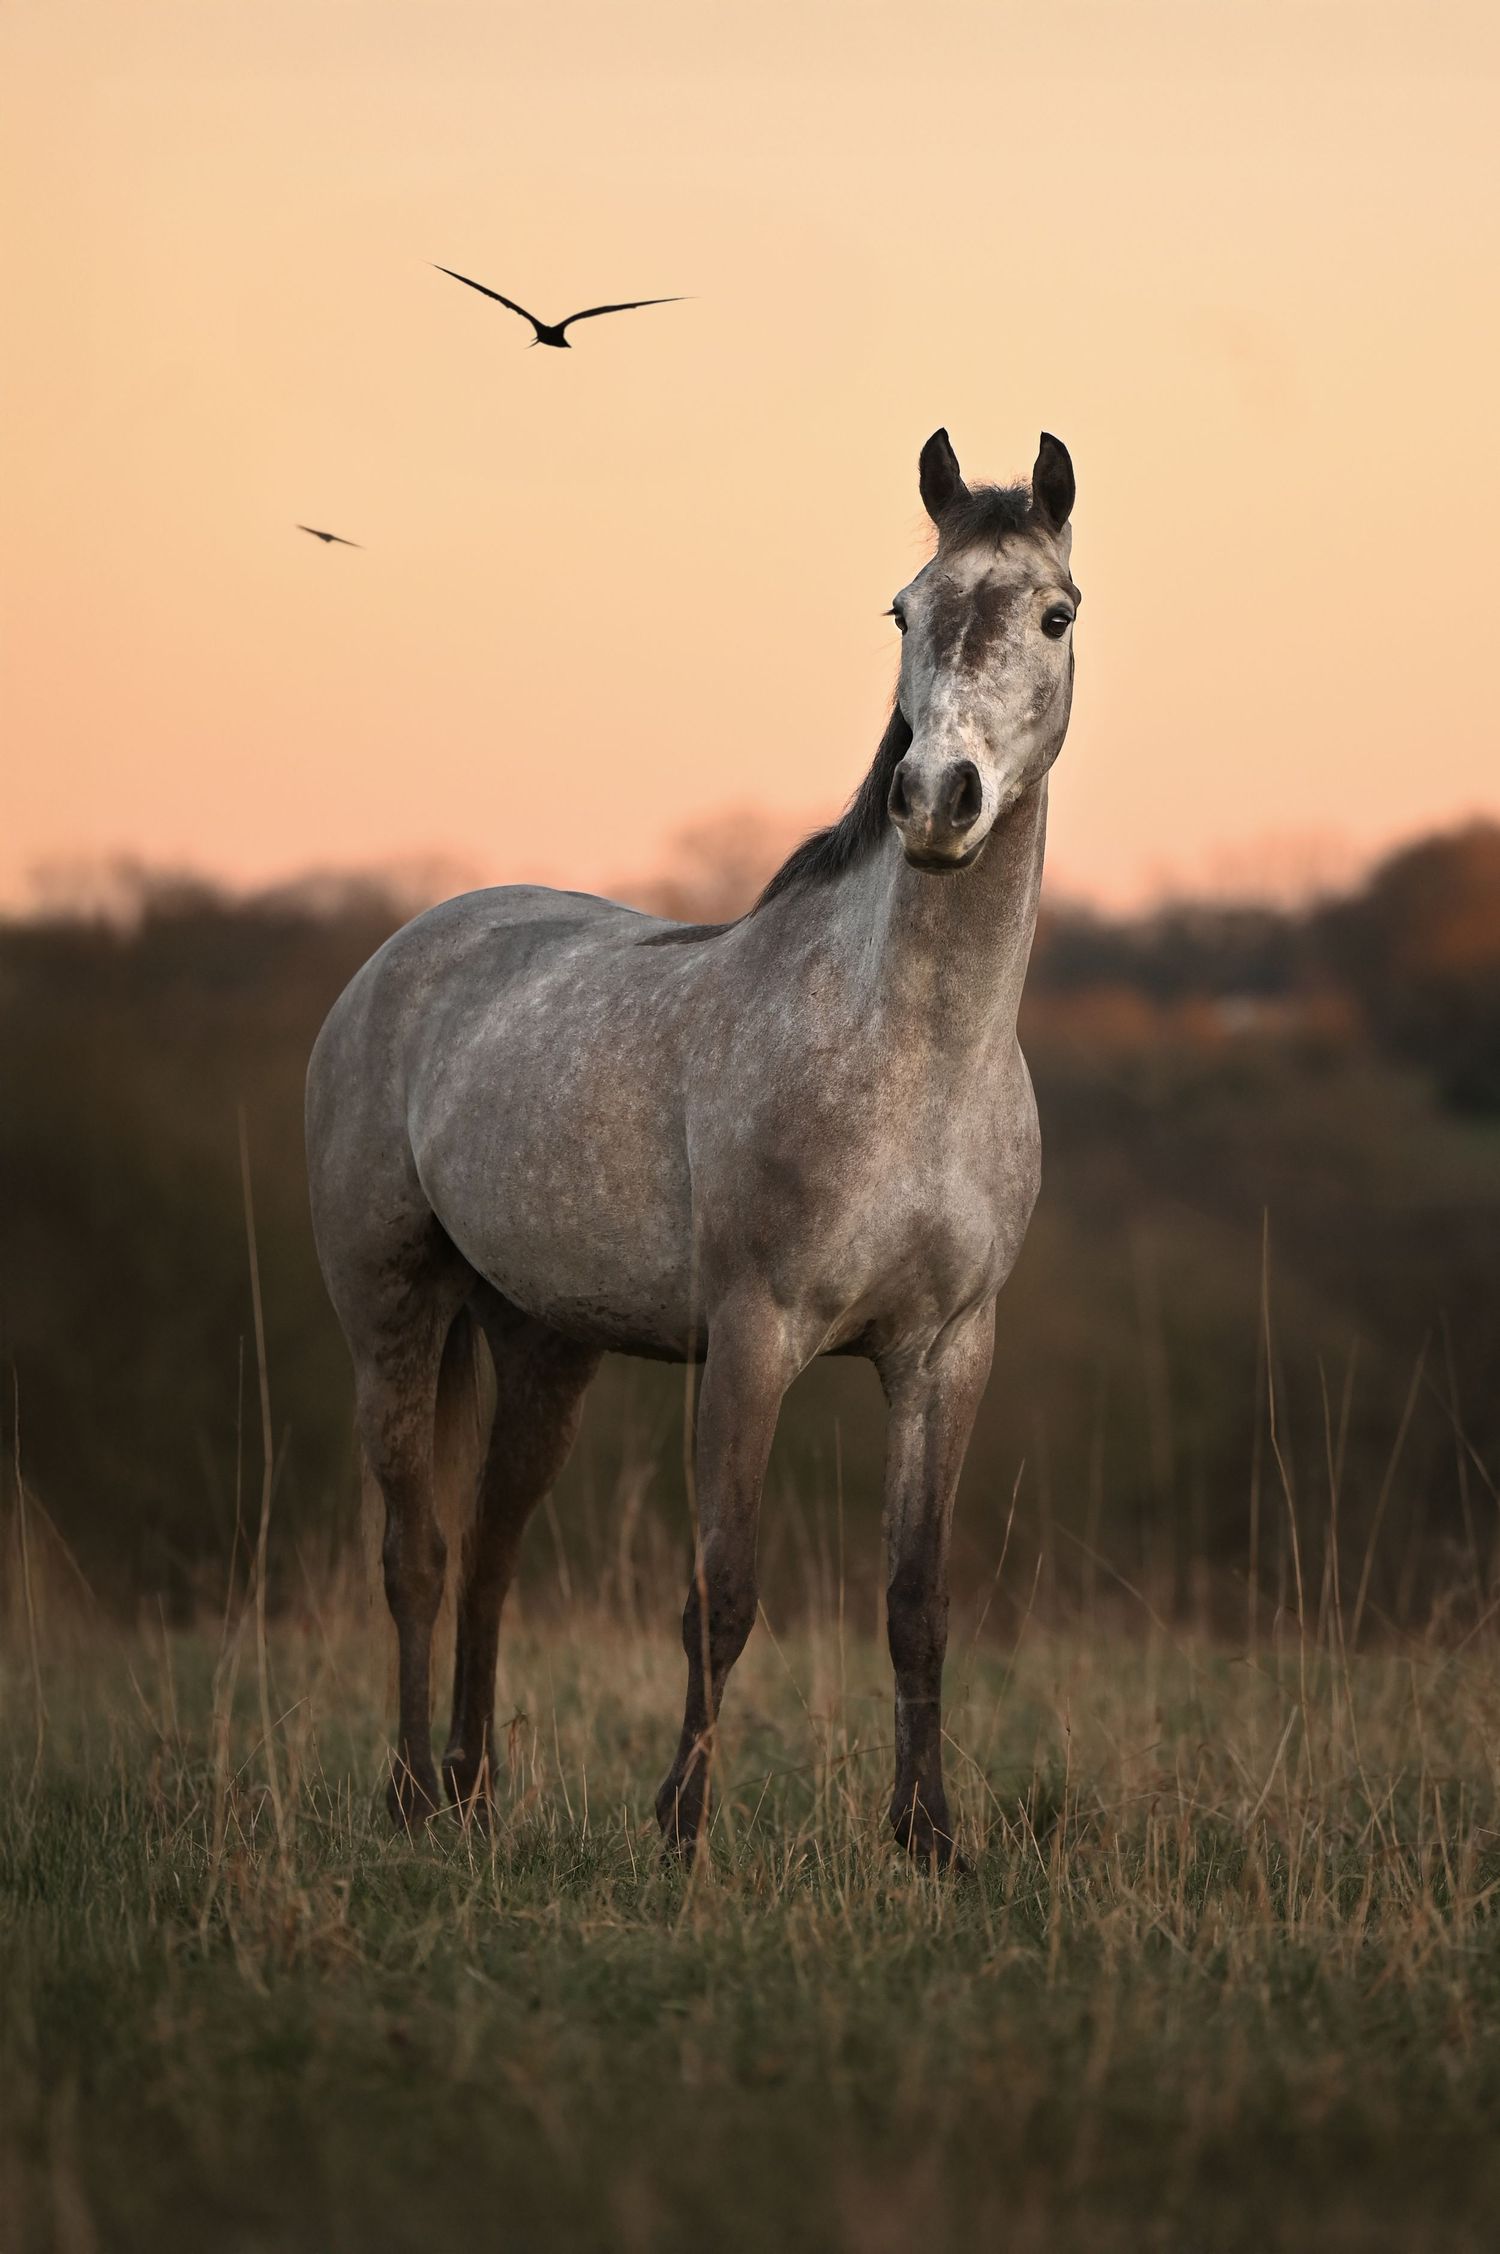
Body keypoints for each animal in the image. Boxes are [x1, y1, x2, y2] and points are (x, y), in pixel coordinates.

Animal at [306, 425, 1080, 1864]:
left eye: (1055, 612)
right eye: (905, 610)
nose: (937, 799)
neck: (914, 1056)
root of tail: (403, 951)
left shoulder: (947, 1352)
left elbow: (918, 1602)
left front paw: (929, 1837)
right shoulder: (753, 1338)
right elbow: (720, 1591)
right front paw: (680, 1827)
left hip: (540, 1343)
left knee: (489, 1552)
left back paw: (475, 1791)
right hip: (393, 1316)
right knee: (418, 1556)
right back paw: (410, 1797)